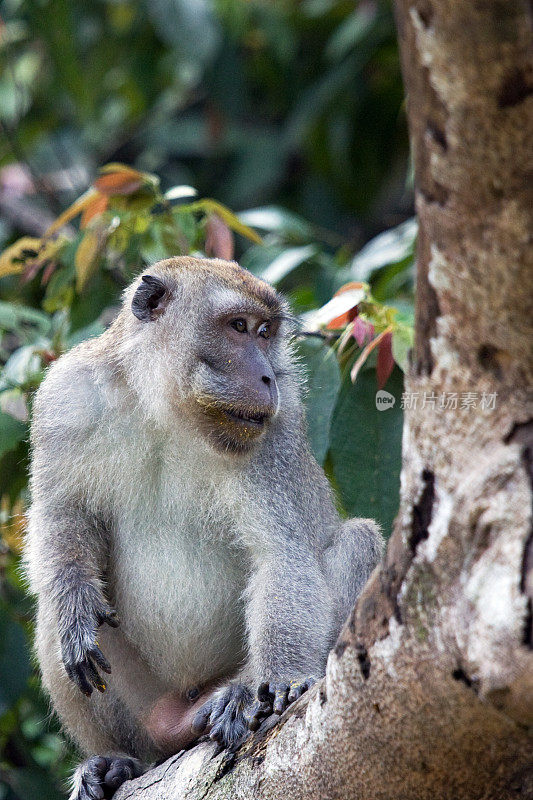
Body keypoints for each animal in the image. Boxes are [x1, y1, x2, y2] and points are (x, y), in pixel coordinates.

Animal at [25, 258, 380, 800]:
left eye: (265, 332)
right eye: (238, 327)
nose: (268, 376)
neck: (168, 407)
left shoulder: (276, 432)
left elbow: (283, 558)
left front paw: (281, 679)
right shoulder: (65, 397)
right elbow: (62, 513)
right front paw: (75, 597)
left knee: (360, 540)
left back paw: (235, 695)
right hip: (146, 704)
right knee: (54, 615)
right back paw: (118, 760)